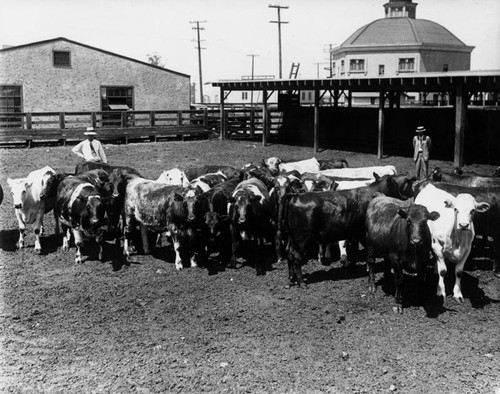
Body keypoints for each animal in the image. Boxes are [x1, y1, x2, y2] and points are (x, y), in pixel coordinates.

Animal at [282, 173, 414, 286]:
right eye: (405, 181)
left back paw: (292, 278)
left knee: (289, 253)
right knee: (296, 256)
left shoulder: (355, 233)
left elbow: (355, 250)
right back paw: (301, 282)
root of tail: (295, 196)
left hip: (292, 238)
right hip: (301, 238)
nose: (413, 178)